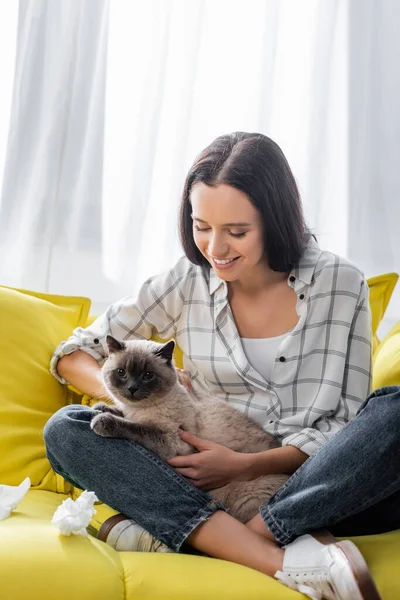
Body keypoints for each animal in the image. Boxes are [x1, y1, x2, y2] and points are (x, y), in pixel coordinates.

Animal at [91, 336, 288, 524]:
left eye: (148, 376)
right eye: (121, 372)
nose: (132, 389)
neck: (139, 409)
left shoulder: (170, 439)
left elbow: (135, 427)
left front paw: (101, 422)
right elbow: (121, 414)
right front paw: (100, 408)